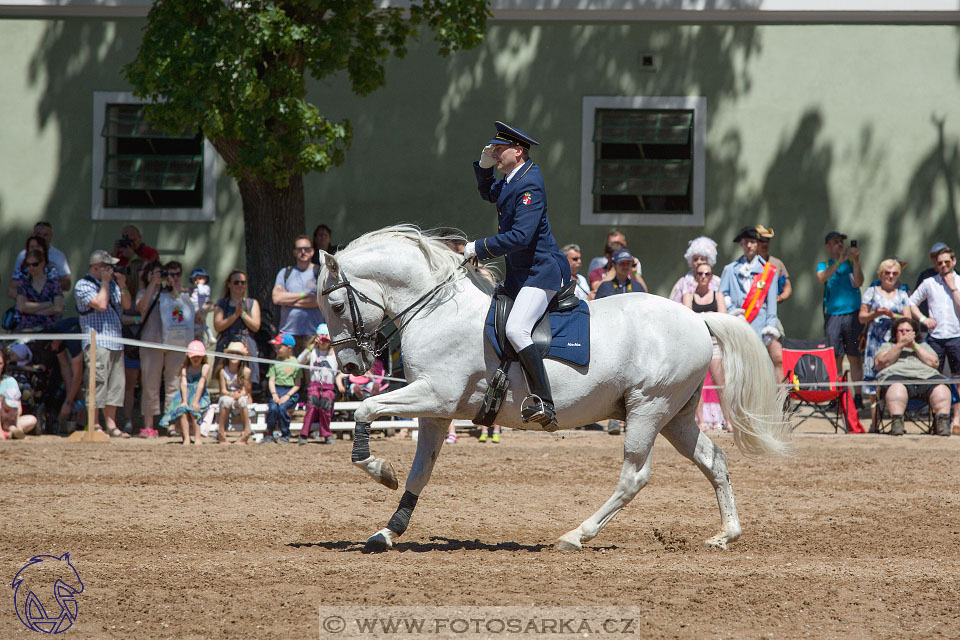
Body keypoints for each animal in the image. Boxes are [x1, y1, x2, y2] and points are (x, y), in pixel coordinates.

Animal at [318, 225, 792, 552]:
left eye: (337, 304)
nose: (351, 365)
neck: (438, 309)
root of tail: (697, 318)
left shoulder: (434, 394)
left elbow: (364, 409)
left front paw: (380, 470)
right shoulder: (436, 412)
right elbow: (421, 471)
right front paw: (387, 531)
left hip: (648, 408)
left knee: (634, 477)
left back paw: (576, 535)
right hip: (675, 416)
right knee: (714, 461)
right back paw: (726, 534)